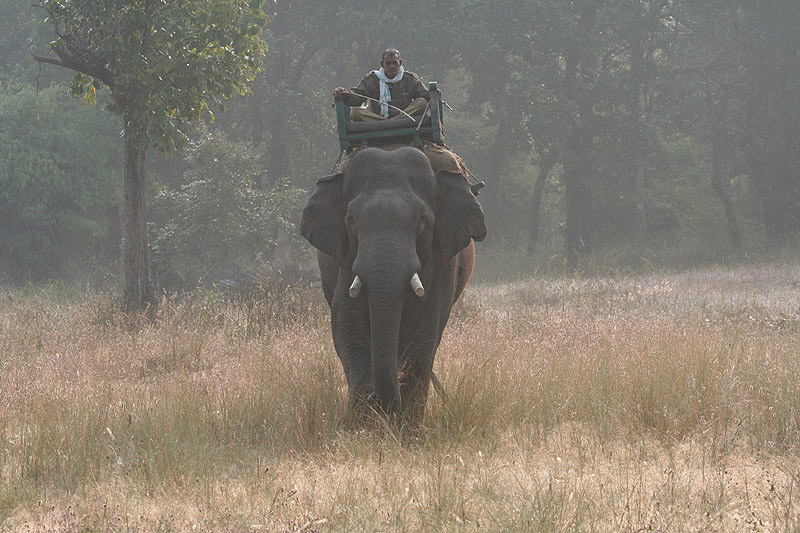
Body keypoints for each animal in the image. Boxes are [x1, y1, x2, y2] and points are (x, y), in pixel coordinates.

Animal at [300, 145, 487, 425]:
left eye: (422, 220)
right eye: (351, 219)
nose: (375, 399)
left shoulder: (443, 259)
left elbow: (424, 335)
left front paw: (407, 429)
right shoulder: (346, 257)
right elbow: (348, 327)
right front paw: (360, 426)